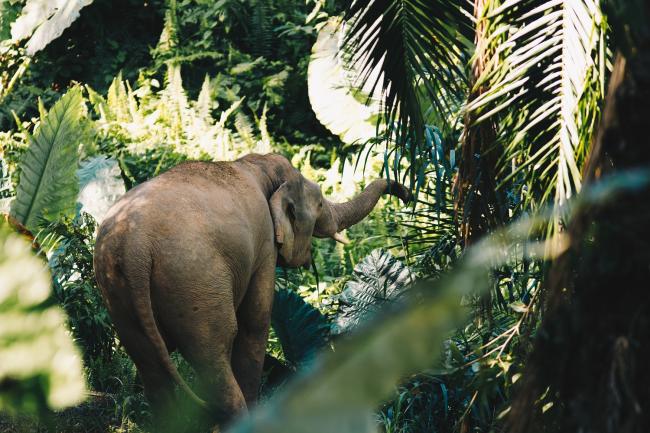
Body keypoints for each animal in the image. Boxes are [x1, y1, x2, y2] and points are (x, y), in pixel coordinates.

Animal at [92, 152, 410, 428]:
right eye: (320, 204)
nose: (406, 193)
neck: (257, 163)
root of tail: (135, 247)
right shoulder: (265, 244)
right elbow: (255, 321)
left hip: (117, 292)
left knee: (149, 365)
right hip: (194, 281)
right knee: (215, 352)